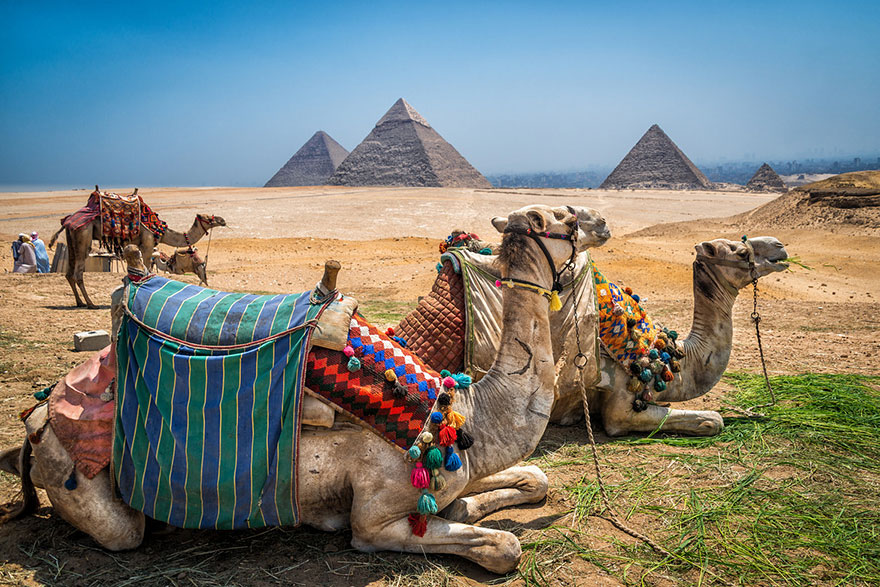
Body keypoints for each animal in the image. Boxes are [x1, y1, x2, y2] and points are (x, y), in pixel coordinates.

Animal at [1, 205, 610, 573]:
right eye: (562, 218)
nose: (601, 221)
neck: (464, 416)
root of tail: (37, 420)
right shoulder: (374, 517)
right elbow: (504, 545)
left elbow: (532, 477)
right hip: (87, 484)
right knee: (125, 529)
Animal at [47, 186, 225, 308]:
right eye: (209, 218)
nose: (222, 220)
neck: (160, 230)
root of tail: (69, 220)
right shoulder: (147, 246)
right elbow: (147, 269)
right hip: (83, 234)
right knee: (78, 273)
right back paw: (90, 303)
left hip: (72, 240)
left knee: (69, 273)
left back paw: (80, 302)